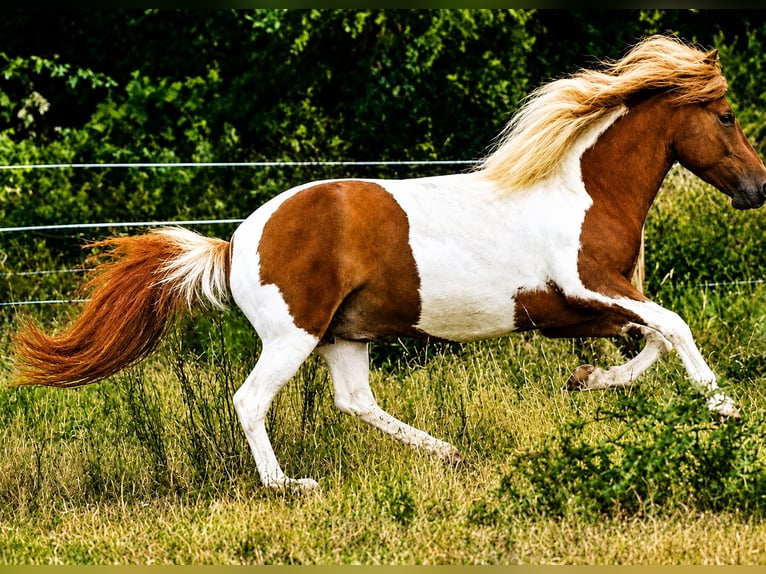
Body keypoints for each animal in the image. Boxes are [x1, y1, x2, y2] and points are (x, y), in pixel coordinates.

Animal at [9, 35, 766, 490]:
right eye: (727, 116)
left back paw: (449, 454)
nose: (758, 187)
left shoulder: (585, 309)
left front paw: (588, 381)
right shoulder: (589, 287)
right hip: (294, 335)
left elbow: (653, 339)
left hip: (345, 335)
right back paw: (289, 486)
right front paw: (727, 411)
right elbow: (675, 326)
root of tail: (235, 244)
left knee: (355, 401)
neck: (584, 192)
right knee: (251, 400)